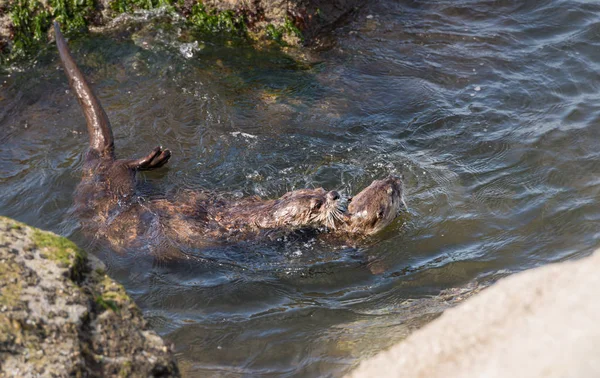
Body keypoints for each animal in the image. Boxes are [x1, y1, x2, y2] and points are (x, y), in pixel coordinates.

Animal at [54, 22, 406, 254]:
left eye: (320, 189)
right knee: (123, 167)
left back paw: (158, 158)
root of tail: (97, 162)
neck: (261, 216)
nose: (334, 193)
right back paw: (152, 156)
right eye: (318, 203)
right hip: (110, 185)